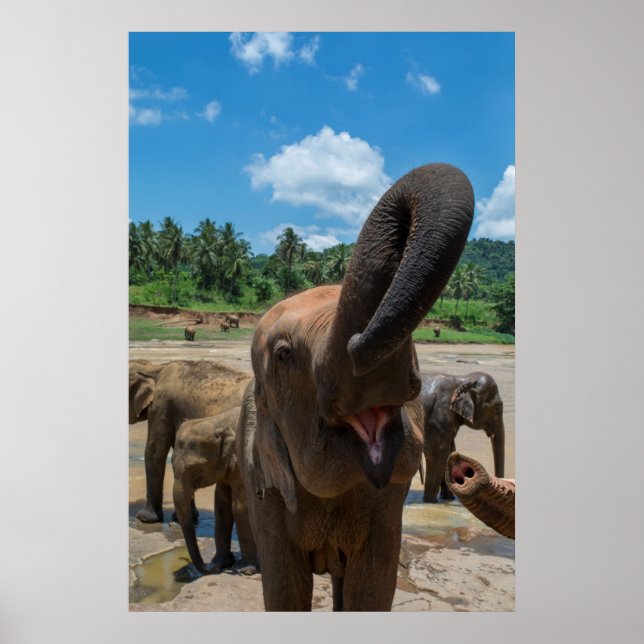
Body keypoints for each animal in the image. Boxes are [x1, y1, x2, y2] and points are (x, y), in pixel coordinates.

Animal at [172, 407, 259, 574]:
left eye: (195, 470)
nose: (212, 568)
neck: (216, 422)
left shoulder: (241, 462)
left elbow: (240, 507)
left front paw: (245, 570)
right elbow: (221, 504)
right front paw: (222, 562)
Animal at [420, 372, 505, 503]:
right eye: (496, 408)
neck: (462, 379)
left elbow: (450, 451)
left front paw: (448, 499)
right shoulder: (438, 416)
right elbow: (438, 454)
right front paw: (430, 502)